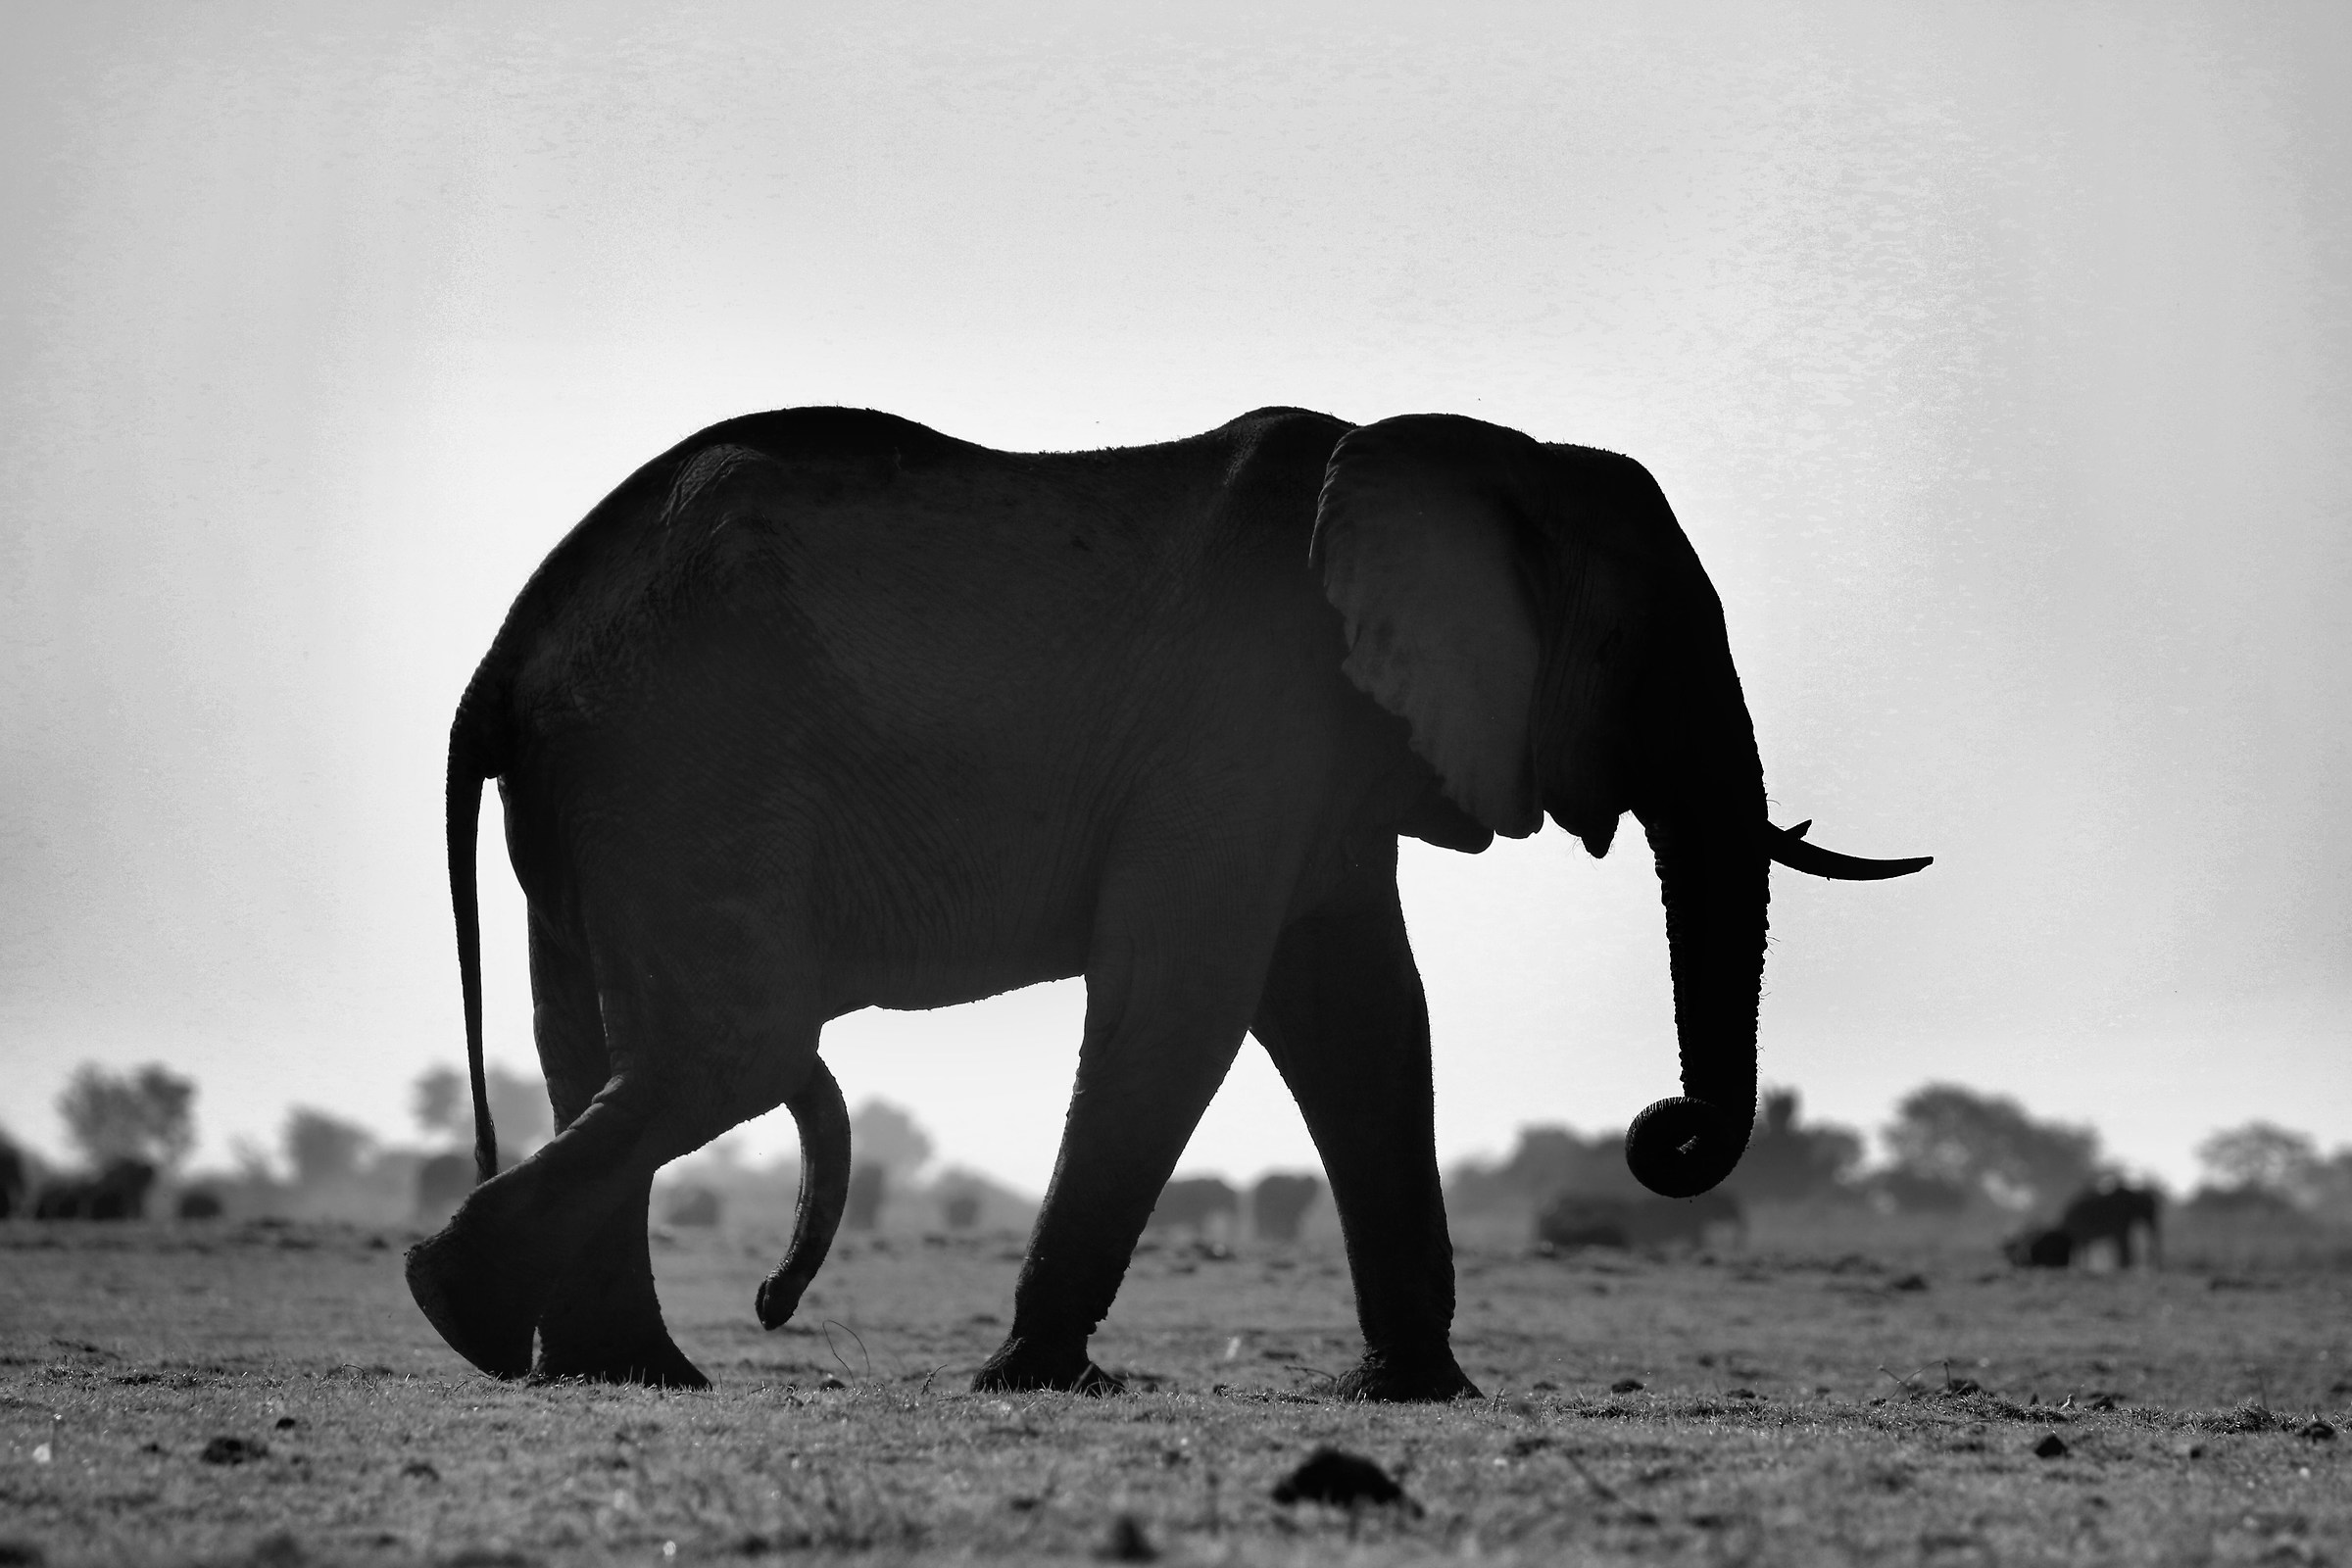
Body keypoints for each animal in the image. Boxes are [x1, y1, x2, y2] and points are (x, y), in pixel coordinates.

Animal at [404, 405, 1929, 1400]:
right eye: (1636, 658)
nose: (1661, 1133)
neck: (1463, 458)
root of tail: (503, 649)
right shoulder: (1245, 715)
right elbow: (1189, 1000)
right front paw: (1036, 1381)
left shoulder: (1322, 749)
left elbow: (1364, 1022)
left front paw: (1417, 1396)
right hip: (684, 753)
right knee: (732, 1044)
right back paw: (471, 1315)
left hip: (605, 778)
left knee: (598, 1039)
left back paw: (621, 1371)